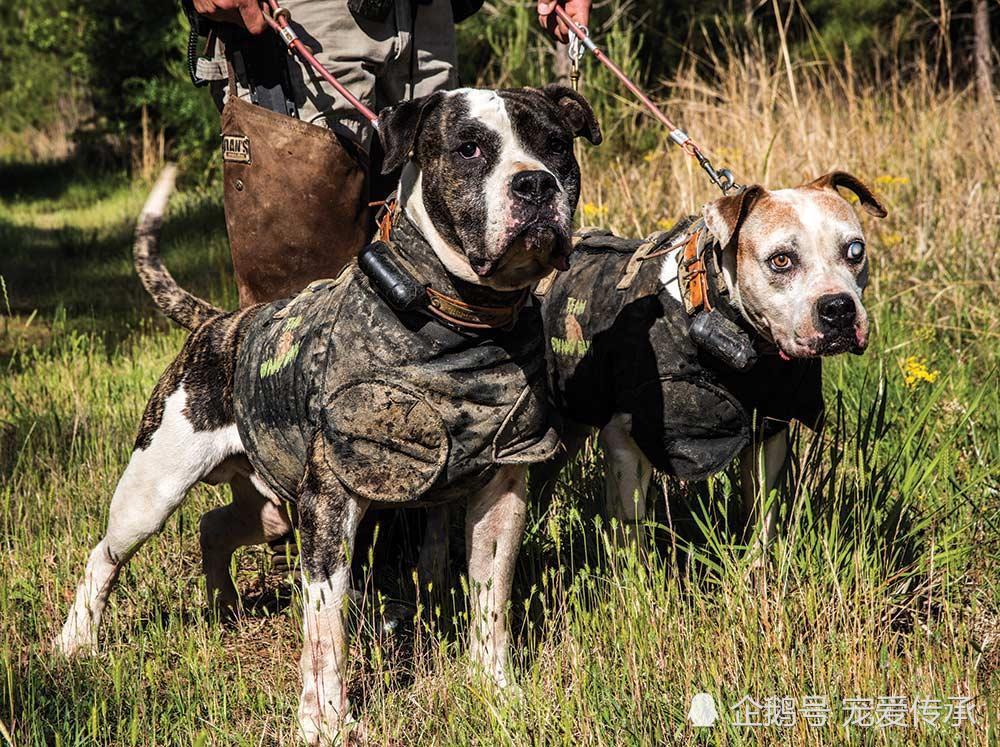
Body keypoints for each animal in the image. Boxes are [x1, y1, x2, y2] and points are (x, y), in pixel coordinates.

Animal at [52, 86, 600, 744]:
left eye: (556, 145)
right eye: (470, 147)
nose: (535, 183)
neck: (460, 327)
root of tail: (218, 322)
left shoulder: (501, 488)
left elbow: (490, 602)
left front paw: (496, 691)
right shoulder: (330, 504)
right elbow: (325, 628)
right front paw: (326, 722)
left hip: (269, 511)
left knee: (214, 527)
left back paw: (223, 606)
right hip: (150, 494)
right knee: (104, 556)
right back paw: (75, 642)